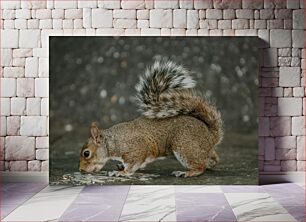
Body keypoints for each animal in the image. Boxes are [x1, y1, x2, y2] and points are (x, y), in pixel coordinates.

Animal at [79, 59, 222, 178]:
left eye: (86, 153)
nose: (81, 170)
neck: (112, 142)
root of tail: (210, 136)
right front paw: (120, 167)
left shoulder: (137, 148)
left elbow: (133, 164)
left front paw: (122, 172)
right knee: (212, 161)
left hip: (185, 146)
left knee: (200, 166)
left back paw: (188, 172)